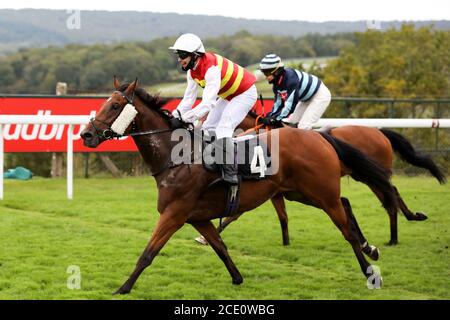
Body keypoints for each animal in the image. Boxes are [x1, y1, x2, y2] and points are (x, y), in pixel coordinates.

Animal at [81, 78, 398, 296]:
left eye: (115, 105)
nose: (86, 134)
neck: (178, 157)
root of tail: (319, 136)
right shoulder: (197, 217)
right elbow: (220, 246)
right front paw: (237, 277)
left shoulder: (174, 213)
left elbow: (148, 252)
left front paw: (123, 288)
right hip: (302, 193)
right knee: (345, 203)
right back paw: (371, 248)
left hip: (320, 193)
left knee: (345, 229)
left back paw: (370, 271)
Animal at [218, 111, 446, 246]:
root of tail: (380, 131)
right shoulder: (276, 191)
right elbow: (280, 216)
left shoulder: (272, 189)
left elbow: (238, 213)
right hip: (366, 174)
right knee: (393, 192)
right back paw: (409, 220)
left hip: (370, 175)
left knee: (390, 194)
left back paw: (394, 236)